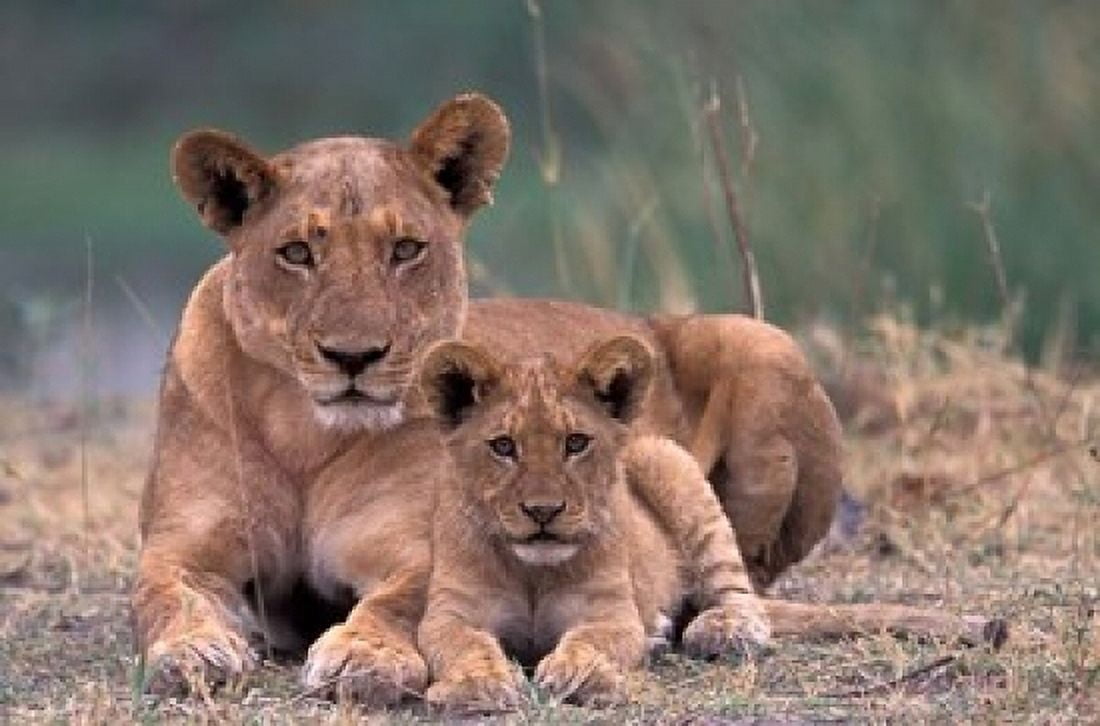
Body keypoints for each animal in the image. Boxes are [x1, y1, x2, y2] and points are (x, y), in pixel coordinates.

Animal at [414, 335, 771, 709]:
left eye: (576, 443)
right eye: (503, 446)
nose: (543, 511)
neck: (532, 575)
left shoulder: (610, 612)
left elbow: (590, 640)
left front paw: (577, 674)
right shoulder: (450, 612)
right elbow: (465, 644)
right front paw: (477, 682)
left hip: (660, 455)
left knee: (740, 595)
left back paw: (724, 629)